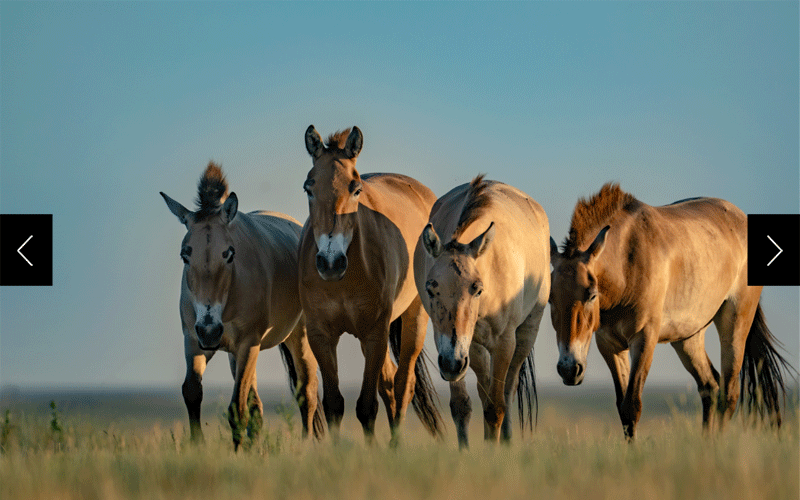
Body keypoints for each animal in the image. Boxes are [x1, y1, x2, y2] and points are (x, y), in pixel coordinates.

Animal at [161, 163, 324, 449]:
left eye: (229, 253)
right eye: (185, 254)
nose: (209, 330)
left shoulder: (248, 343)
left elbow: (237, 408)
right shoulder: (194, 341)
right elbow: (192, 392)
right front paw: (198, 447)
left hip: (299, 338)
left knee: (307, 394)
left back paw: (305, 446)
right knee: (258, 405)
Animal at [299, 125, 443, 444]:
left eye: (356, 189)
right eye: (308, 188)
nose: (330, 263)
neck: (343, 281)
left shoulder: (375, 333)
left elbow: (366, 406)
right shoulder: (320, 335)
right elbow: (334, 404)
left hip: (414, 319)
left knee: (402, 385)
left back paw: (395, 445)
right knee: (389, 384)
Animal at [415, 175, 550, 448]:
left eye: (477, 289)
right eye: (431, 289)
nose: (452, 364)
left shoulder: (503, 344)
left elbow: (496, 406)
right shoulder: (461, 346)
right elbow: (463, 406)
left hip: (525, 334)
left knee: (507, 391)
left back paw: (506, 441)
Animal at [549, 183, 793, 440]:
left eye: (592, 295)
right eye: (550, 299)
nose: (569, 369)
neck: (627, 261)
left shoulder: (644, 338)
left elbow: (632, 405)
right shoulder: (609, 345)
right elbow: (623, 409)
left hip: (735, 324)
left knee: (728, 394)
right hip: (688, 337)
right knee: (710, 387)